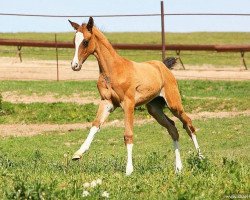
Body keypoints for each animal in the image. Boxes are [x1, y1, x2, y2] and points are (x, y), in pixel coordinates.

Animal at [68, 18, 203, 176]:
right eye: (74, 41)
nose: (75, 65)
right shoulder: (107, 102)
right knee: (173, 128)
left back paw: (201, 158)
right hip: (154, 109)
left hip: (174, 104)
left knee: (188, 124)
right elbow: (95, 125)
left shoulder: (128, 104)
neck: (113, 70)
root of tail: (163, 66)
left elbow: (128, 134)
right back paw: (178, 168)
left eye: (86, 41)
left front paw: (129, 170)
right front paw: (78, 154)